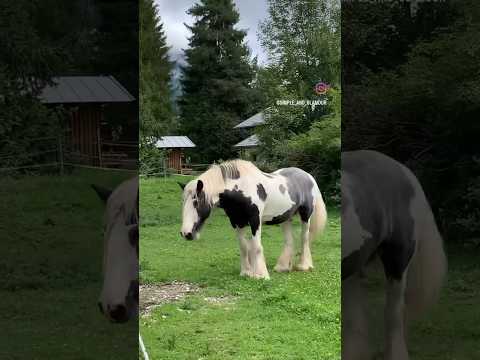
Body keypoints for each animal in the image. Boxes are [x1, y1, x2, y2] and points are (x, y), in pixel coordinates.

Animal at [178, 159, 328, 280]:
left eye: (196, 202)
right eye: (183, 201)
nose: (186, 233)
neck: (242, 189)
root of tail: (308, 176)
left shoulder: (255, 220)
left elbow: (256, 246)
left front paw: (261, 275)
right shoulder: (236, 222)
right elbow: (244, 246)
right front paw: (246, 272)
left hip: (305, 215)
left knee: (304, 238)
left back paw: (304, 266)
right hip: (285, 217)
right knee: (289, 240)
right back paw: (282, 267)